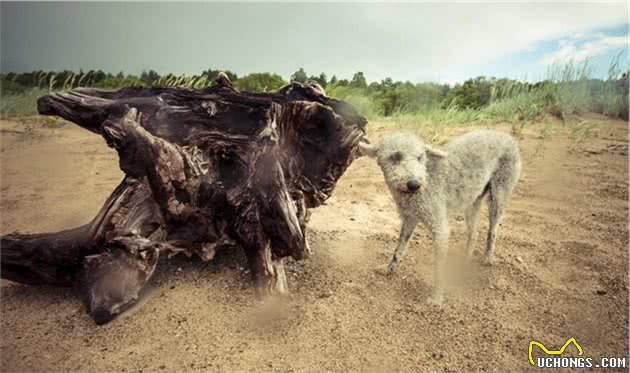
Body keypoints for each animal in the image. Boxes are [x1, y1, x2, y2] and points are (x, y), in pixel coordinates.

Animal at [360, 129, 524, 304]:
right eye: (395, 157)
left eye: (420, 157)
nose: (414, 184)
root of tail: (506, 136)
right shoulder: (409, 219)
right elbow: (399, 250)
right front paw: (387, 269)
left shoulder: (439, 227)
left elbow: (439, 268)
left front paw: (437, 299)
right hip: (473, 201)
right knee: (474, 233)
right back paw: (465, 262)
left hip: (498, 197)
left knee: (492, 231)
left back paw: (487, 258)